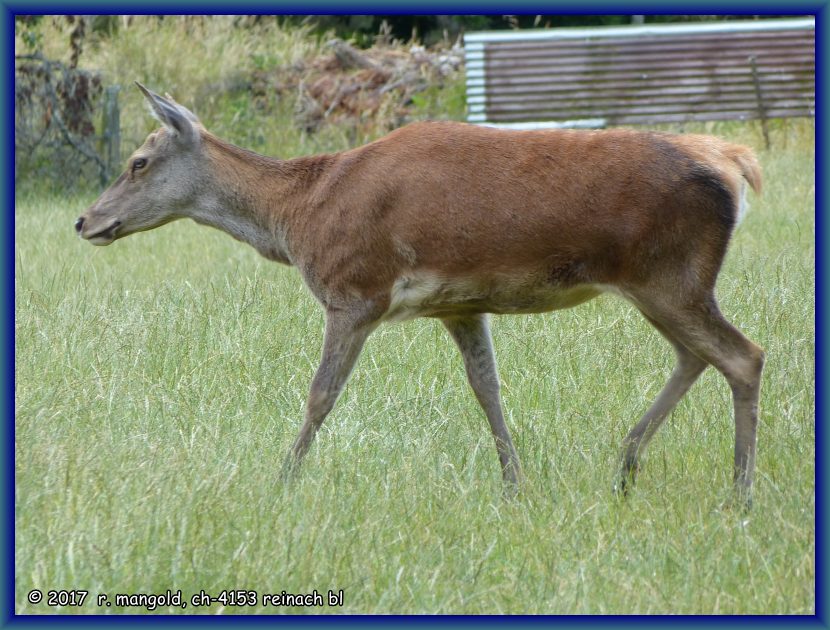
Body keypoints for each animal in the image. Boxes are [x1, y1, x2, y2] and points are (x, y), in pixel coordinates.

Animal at [75, 84, 764, 506]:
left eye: (138, 161)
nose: (85, 220)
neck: (300, 217)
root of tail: (734, 161)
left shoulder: (354, 291)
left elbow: (320, 395)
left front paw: (282, 482)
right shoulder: (460, 305)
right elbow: (487, 389)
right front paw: (515, 485)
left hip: (669, 276)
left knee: (743, 356)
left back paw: (738, 493)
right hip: (664, 284)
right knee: (697, 355)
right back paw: (626, 465)